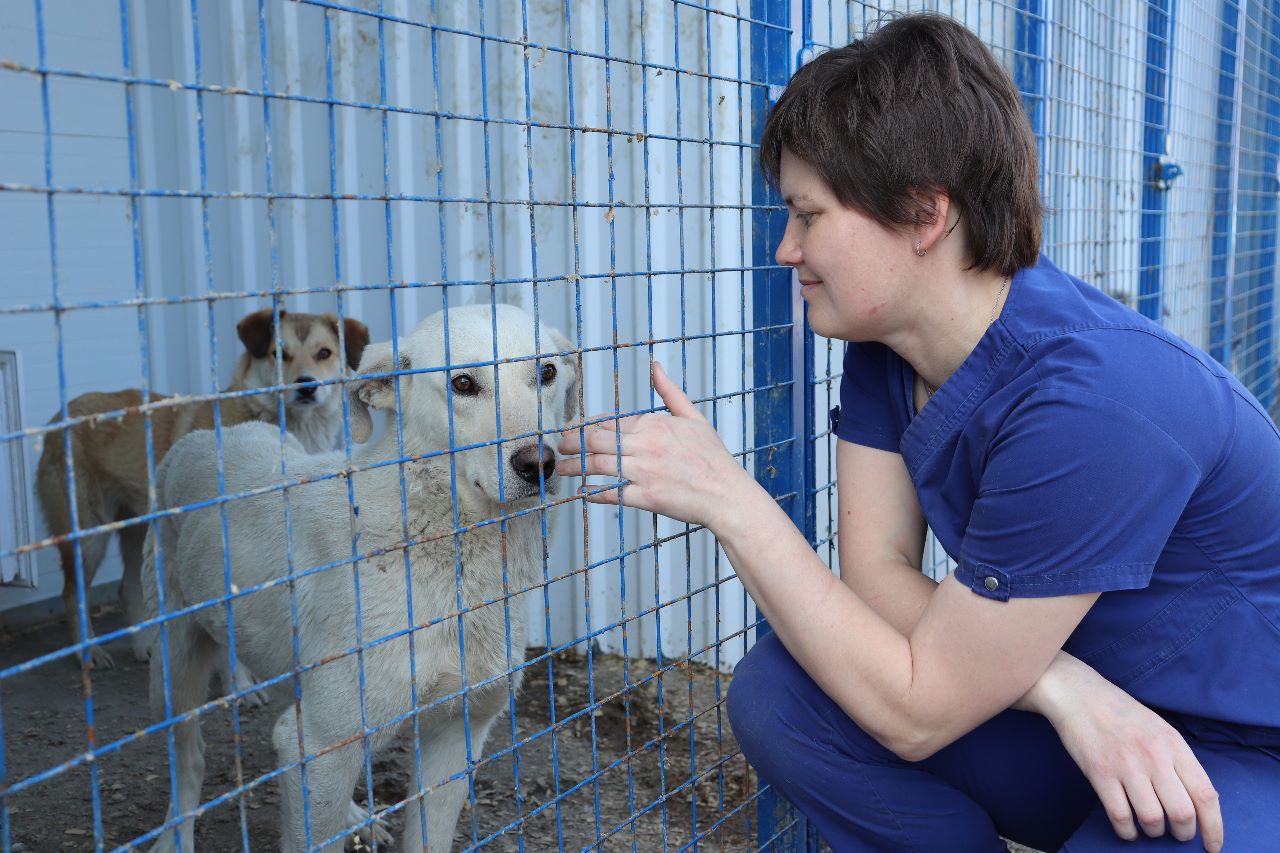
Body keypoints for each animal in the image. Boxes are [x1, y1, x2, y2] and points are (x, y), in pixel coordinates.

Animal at [37, 308, 368, 666]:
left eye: (324, 353)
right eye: (279, 353)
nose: (306, 385)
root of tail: (58, 416)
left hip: (139, 530)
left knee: (127, 587)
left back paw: (145, 647)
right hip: (89, 535)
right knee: (72, 594)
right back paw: (90, 654)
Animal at [144, 306, 576, 850]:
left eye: (547, 373)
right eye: (462, 383)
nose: (538, 464)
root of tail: (202, 438)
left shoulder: (458, 733)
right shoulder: (321, 745)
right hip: (174, 669)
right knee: (189, 760)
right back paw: (174, 836)